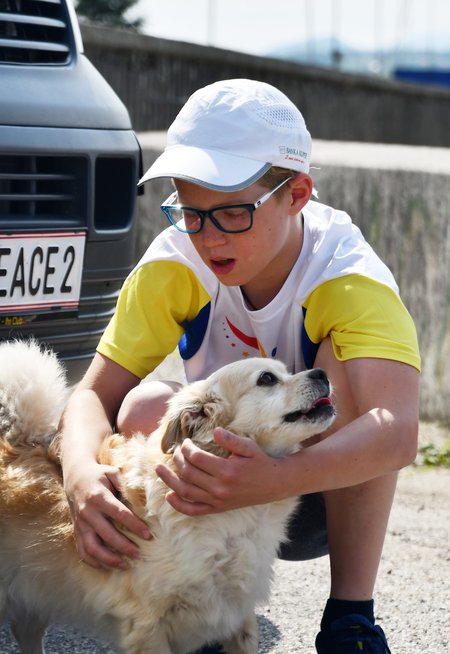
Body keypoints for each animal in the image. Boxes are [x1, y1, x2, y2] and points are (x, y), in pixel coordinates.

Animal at [0, 340, 335, 654]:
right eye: (267, 379)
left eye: (288, 370)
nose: (322, 372)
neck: (230, 521)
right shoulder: (147, 627)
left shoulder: (238, 614)